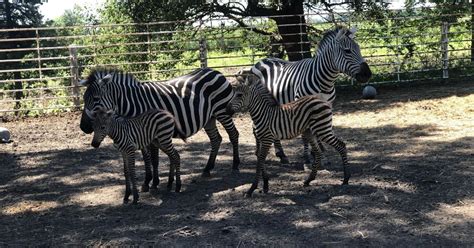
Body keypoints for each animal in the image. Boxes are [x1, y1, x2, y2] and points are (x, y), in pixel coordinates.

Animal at [80, 67, 241, 191]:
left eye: (96, 99)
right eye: (83, 99)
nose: (83, 127)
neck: (134, 104)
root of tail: (215, 71)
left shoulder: (149, 130)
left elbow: (154, 159)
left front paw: (153, 182)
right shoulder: (140, 132)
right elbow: (147, 159)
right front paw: (148, 182)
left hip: (222, 111)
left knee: (233, 134)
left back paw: (235, 164)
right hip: (209, 118)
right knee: (216, 139)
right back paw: (207, 168)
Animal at [250, 26, 372, 164]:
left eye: (359, 49)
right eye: (347, 51)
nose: (367, 74)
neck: (324, 81)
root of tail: (263, 60)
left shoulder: (325, 106)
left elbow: (318, 131)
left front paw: (319, 153)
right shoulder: (303, 105)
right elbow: (305, 134)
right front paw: (308, 156)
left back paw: (281, 154)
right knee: (255, 125)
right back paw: (262, 152)